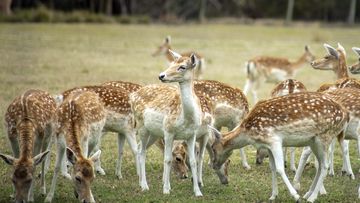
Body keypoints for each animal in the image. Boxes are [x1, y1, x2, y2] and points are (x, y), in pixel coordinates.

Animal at [211, 92, 348, 203]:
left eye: (213, 148)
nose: (213, 165)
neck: (249, 133)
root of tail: (345, 115)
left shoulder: (274, 140)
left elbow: (280, 168)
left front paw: (295, 196)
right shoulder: (268, 146)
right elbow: (272, 168)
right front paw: (273, 196)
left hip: (325, 136)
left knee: (325, 165)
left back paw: (312, 197)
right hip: (313, 141)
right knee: (320, 165)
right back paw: (308, 194)